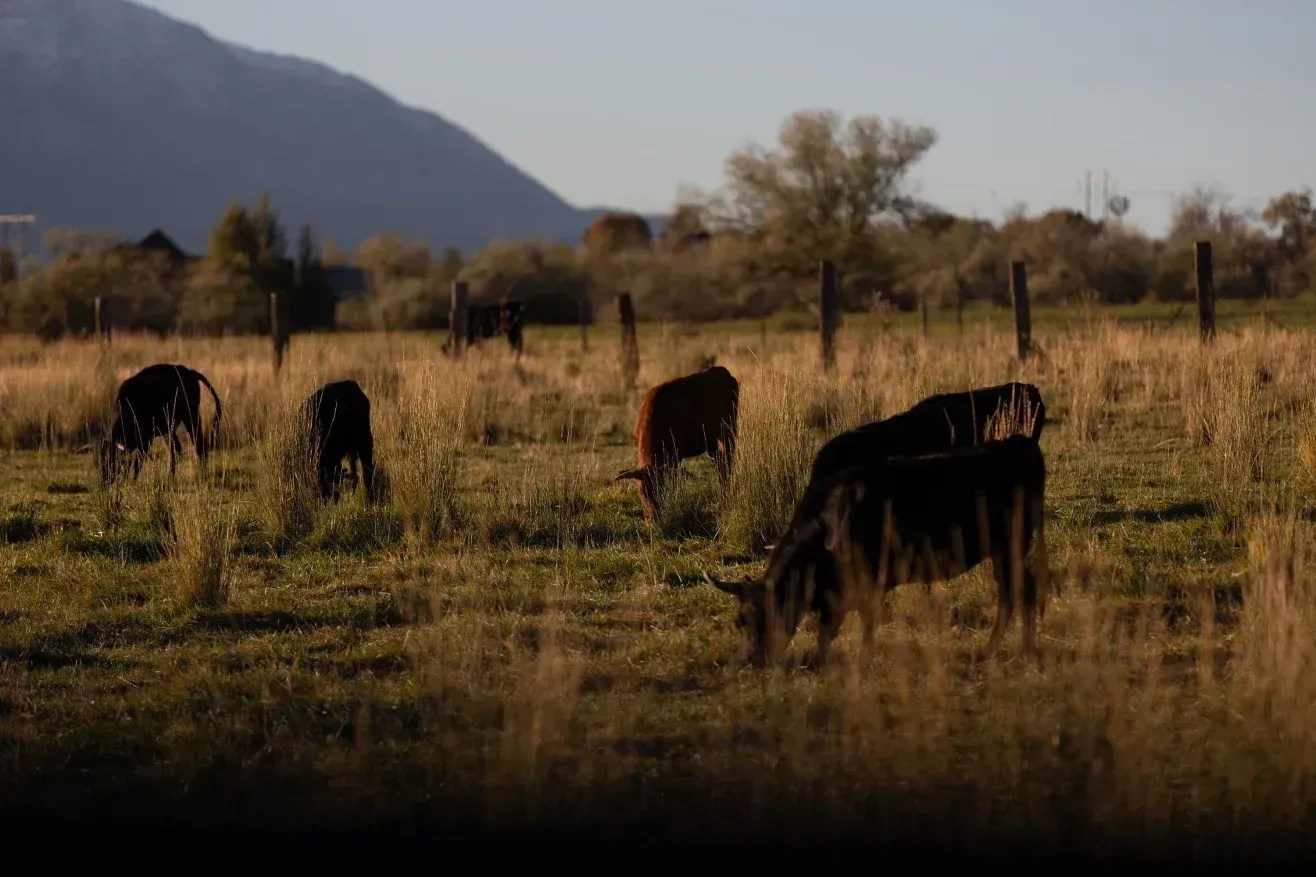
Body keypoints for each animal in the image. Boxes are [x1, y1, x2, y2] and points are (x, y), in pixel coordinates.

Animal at [615, 364, 739, 521]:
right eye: (642, 493)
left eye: (662, 491)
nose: (653, 519)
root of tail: (723, 372)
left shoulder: (676, 454)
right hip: (712, 442)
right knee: (721, 463)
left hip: (728, 432)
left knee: (728, 460)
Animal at [705, 435, 1047, 670]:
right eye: (739, 622)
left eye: (756, 617)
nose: (748, 661)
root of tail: (1021, 443)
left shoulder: (862, 582)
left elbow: (847, 625)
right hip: (1004, 550)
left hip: (1013, 545)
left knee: (1019, 592)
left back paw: (1016, 651)